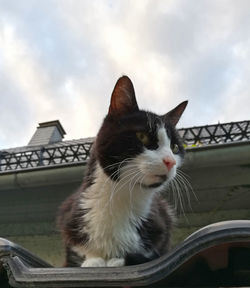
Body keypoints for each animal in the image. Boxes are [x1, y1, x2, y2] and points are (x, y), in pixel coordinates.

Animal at [57, 75, 188, 268]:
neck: (121, 198)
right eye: (143, 136)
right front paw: (93, 260)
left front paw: (117, 260)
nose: (170, 161)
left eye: (174, 147)